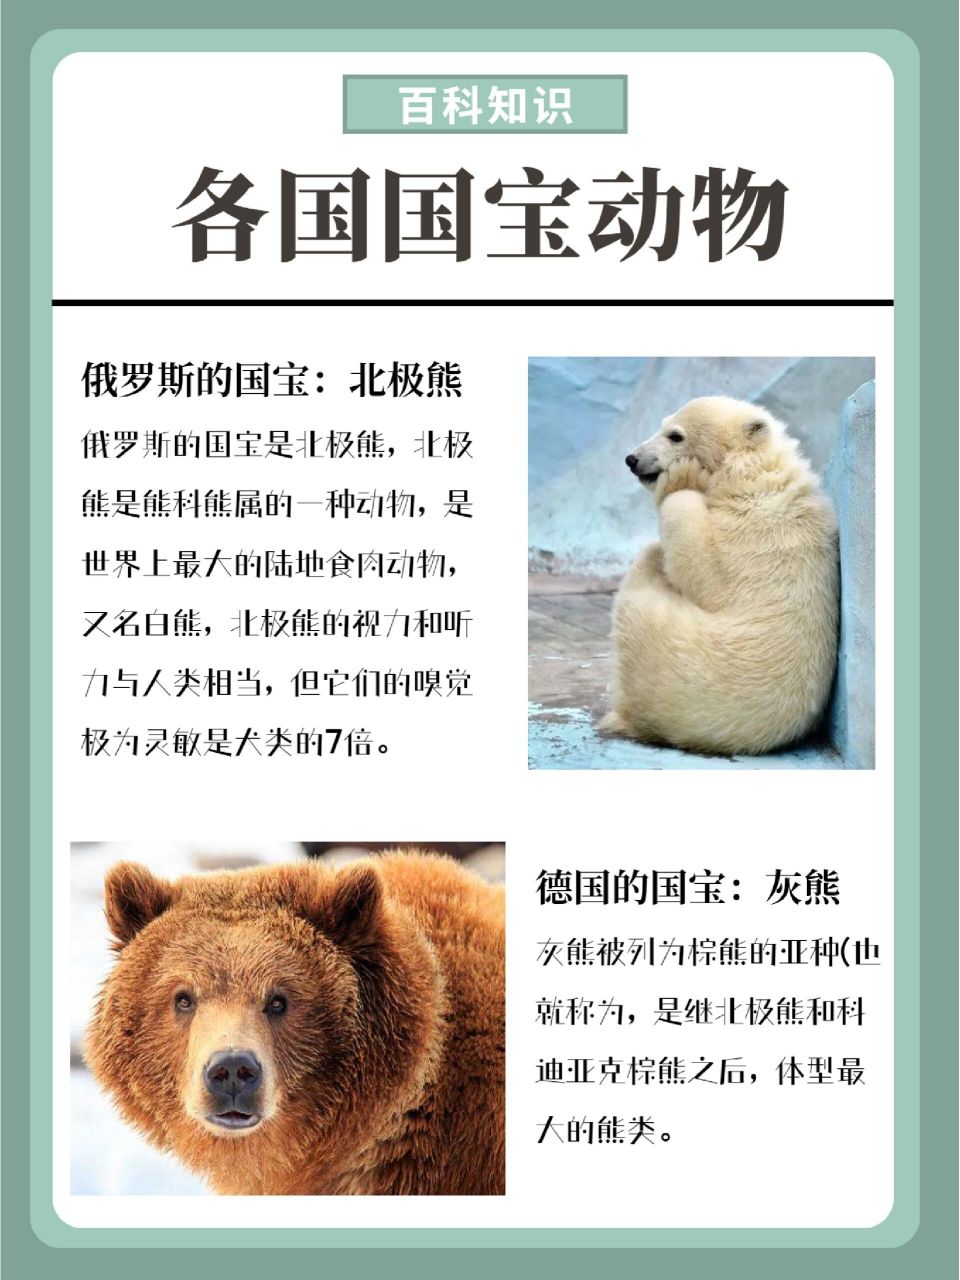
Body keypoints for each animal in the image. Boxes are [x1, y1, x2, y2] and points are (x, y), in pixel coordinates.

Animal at [599, 395, 839, 755]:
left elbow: (704, 569)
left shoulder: (755, 529)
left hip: (675, 658)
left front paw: (681, 479)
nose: (632, 459)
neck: (751, 474)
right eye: (662, 424)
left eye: (675, 435)